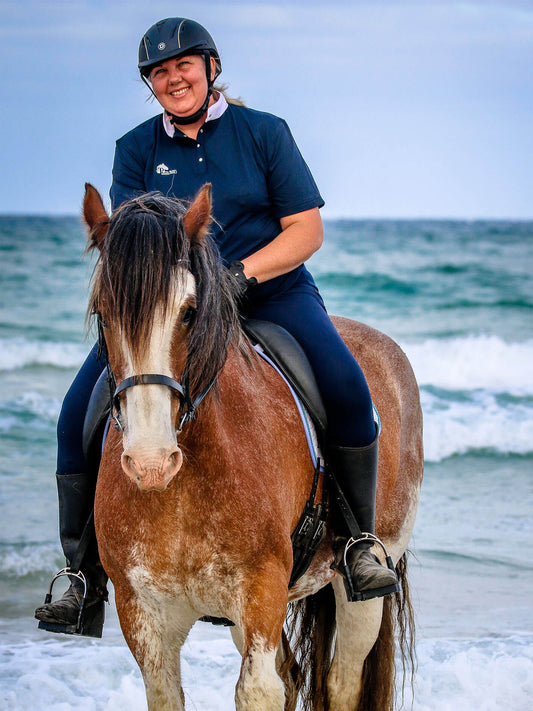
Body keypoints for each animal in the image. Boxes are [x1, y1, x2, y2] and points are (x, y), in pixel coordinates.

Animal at [83, 185, 422, 711]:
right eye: (103, 311)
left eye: (189, 311)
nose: (150, 462)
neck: (182, 489)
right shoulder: (144, 616)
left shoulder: (261, 592)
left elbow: (258, 690)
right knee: (295, 674)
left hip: (363, 581)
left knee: (343, 681)